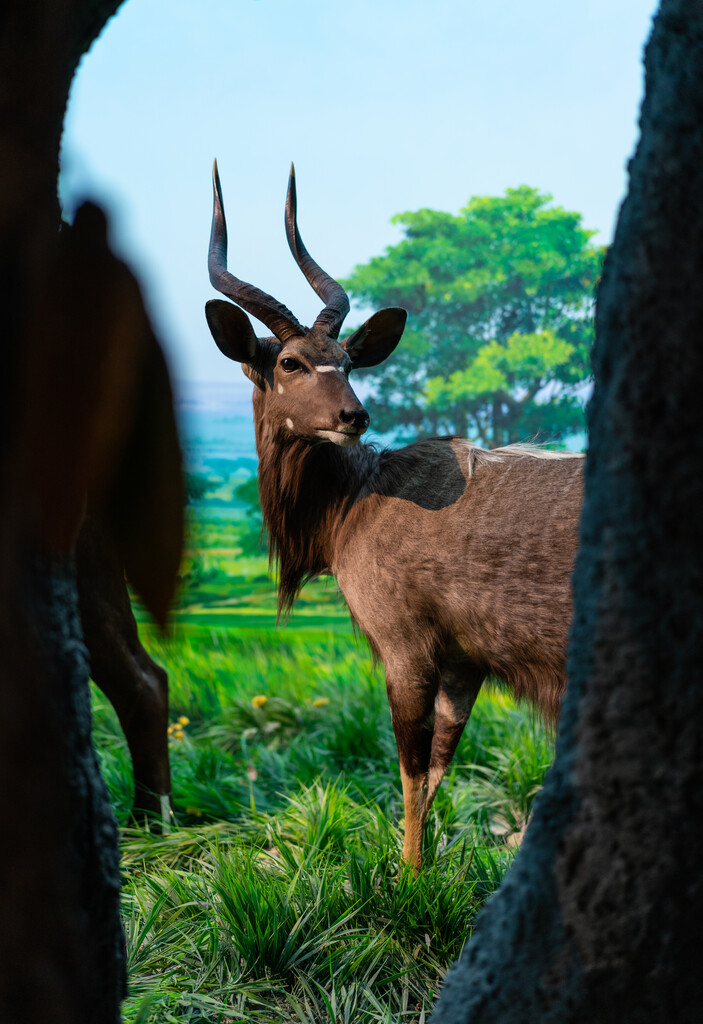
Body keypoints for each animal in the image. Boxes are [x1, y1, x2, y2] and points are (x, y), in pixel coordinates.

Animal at [204, 163, 581, 868]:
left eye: (348, 362)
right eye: (290, 361)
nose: (354, 415)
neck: (358, 498)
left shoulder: (407, 646)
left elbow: (410, 766)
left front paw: (408, 876)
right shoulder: (463, 662)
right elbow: (438, 766)